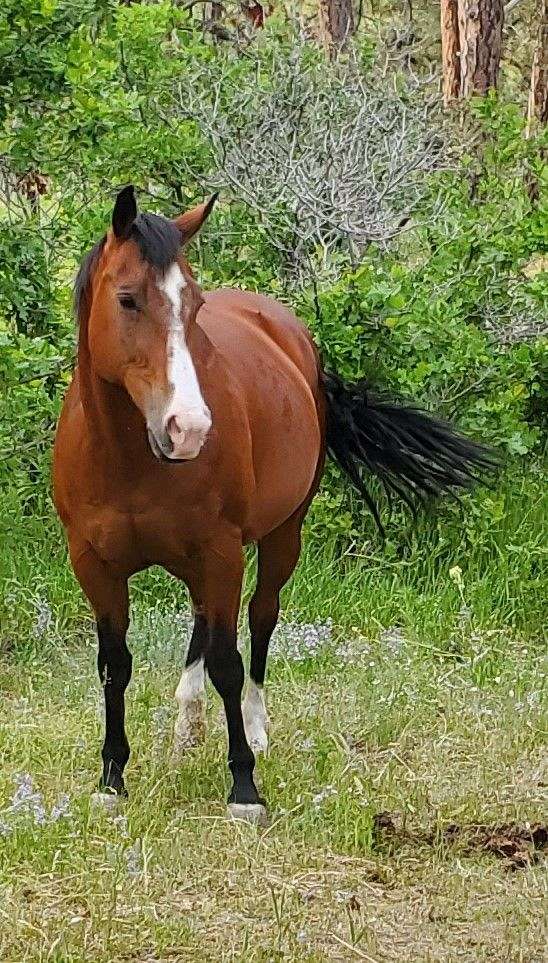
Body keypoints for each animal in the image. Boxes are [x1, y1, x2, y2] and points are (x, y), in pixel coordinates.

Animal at [53, 190, 494, 828]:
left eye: (195, 305)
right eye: (128, 299)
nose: (190, 428)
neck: (127, 459)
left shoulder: (220, 552)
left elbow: (229, 663)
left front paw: (244, 786)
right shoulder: (94, 564)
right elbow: (115, 664)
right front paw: (112, 779)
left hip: (280, 536)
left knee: (259, 622)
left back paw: (255, 729)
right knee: (202, 625)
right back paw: (187, 726)